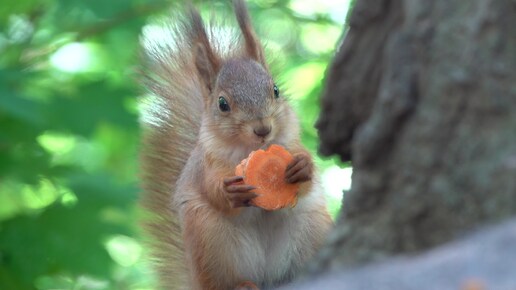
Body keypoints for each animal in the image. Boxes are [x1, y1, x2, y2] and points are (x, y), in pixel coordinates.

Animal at [139, 1, 332, 288]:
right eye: (222, 104)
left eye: (276, 90)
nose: (262, 129)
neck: (250, 149)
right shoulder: (206, 164)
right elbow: (211, 188)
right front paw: (230, 192)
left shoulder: (292, 142)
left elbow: (308, 174)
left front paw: (302, 167)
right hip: (212, 243)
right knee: (223, 282)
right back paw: (241, 284)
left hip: (313, 229)